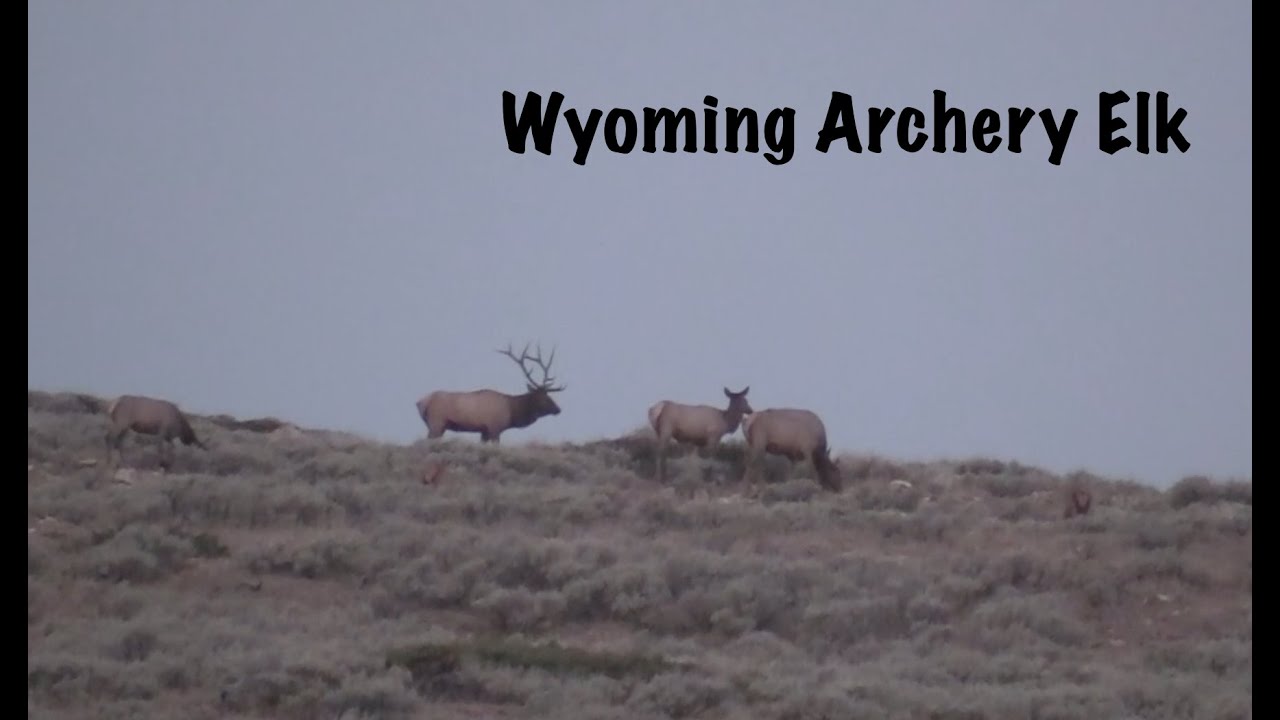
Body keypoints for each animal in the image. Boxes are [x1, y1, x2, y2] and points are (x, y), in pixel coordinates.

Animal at [415, 342, 566, 445]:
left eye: (549, 394)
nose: (558, 409)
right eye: (543, 397)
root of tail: (421, 402)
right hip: (436, 422)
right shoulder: (495, 428)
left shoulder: (484, 431)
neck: (512, 411)